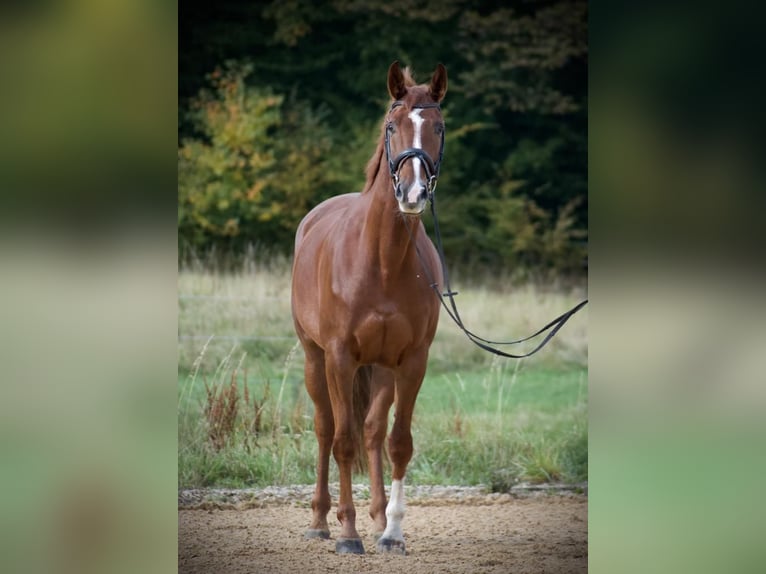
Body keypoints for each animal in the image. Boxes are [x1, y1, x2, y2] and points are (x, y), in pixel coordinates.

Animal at [291, 61, 447, 555]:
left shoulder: (412, 361)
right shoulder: (340, 357)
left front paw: (392, 531)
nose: (414, 194)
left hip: (380, 368)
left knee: (375, 431)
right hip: (315, 359)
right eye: (392, 126)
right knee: (325, 428)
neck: (382, 259)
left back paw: (378, 516)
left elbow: (398, 442)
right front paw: (348, 534)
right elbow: (343, 441)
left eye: (438, 126)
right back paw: (320, 521)